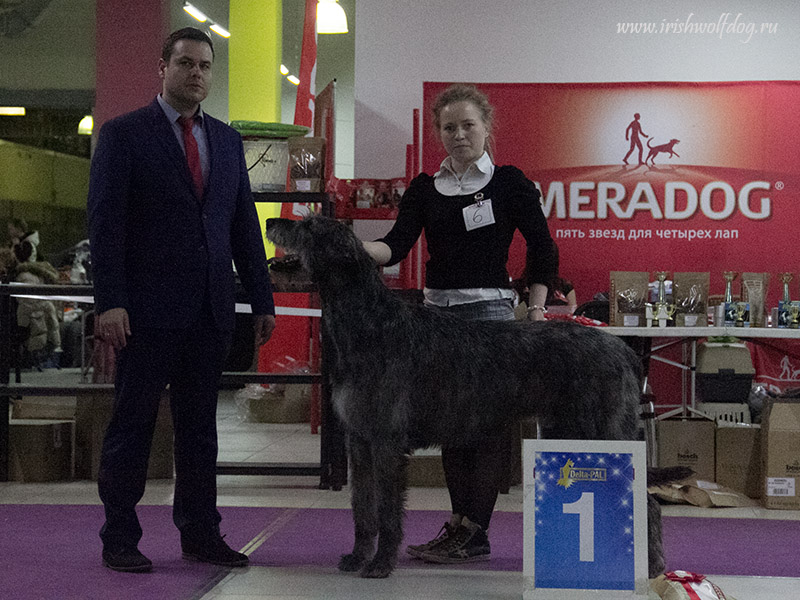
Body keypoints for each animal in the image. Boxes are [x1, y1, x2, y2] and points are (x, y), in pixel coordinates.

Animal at [266, 214, 672, 576]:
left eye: (308, 226)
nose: (271, 221)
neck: (370, 322)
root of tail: (623, 350)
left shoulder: (386, 441)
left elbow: (387, 511)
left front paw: (381, 564)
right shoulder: (359, 440)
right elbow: (362, 509)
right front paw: (357, 557)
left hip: (601, 431)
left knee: (648, 501)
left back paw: (651, 566)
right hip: (570, 432)